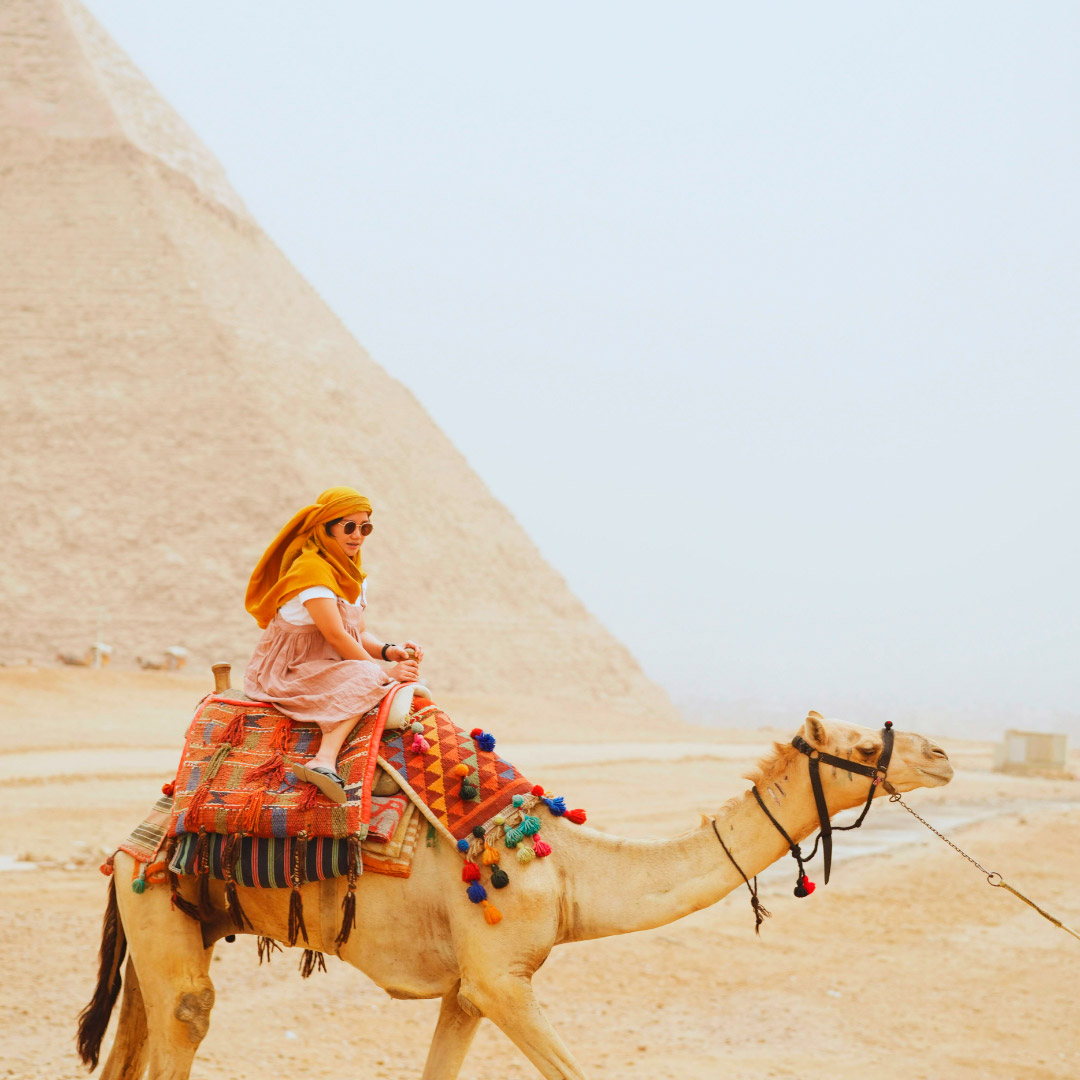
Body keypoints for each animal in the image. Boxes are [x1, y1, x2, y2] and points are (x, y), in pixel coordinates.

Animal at [77, 711, 953, 1080]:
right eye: (865, 746)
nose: (942, 755)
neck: (565, 873)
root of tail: (132, 837)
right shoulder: (503, 978)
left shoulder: (467, 990)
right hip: (159, 901)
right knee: (187, 1018)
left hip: (174, 917)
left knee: (138, 1039)